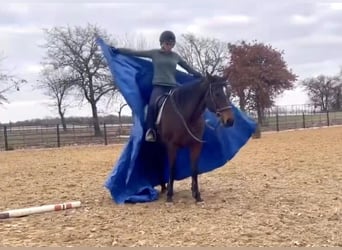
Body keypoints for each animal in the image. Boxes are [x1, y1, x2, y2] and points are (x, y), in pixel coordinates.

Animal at [154, 71, 234, 202]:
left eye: (228, 93)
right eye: (217, 94)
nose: (230, 120)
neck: (186, 115)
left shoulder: (196, 145)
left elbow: (194, 169)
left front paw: (197, 195)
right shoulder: (172, 146)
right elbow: (172, 168)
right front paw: (170, 195)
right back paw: (164, 188)